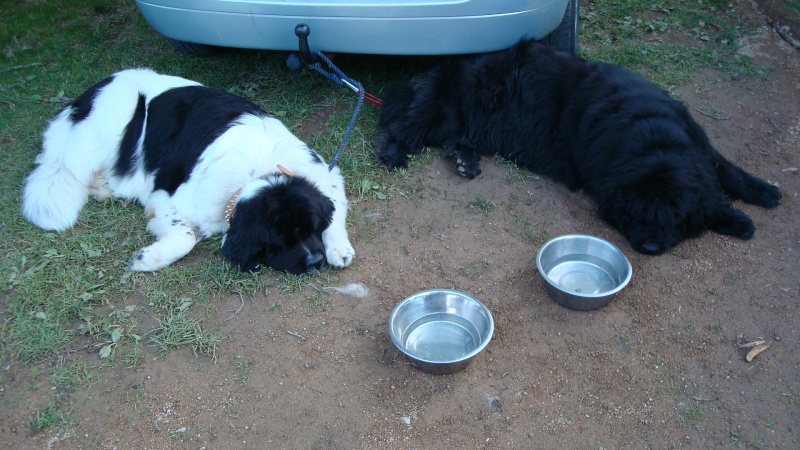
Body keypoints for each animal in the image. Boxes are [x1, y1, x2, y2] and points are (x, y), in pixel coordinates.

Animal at [23, 69, 354, 274]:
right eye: (280, 239)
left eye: (311, 228)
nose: (315, 261)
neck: (258, 169)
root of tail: (84, 96)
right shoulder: (169, 199)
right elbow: (185, 237)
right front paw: (146, 259)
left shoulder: (324, 174)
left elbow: (334, 207)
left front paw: (339, 247)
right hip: (113, 120)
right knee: (68, 166)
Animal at [378, 40, 784, 255]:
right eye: (638, 215)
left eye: (671, 216)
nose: (649, 247)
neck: (650, 132)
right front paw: (734, 219)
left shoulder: (697, 142)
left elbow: (725, 170)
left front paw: (759, 195)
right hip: (444, 109)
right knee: (397, 124)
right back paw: (393, 153)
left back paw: (465, 160)